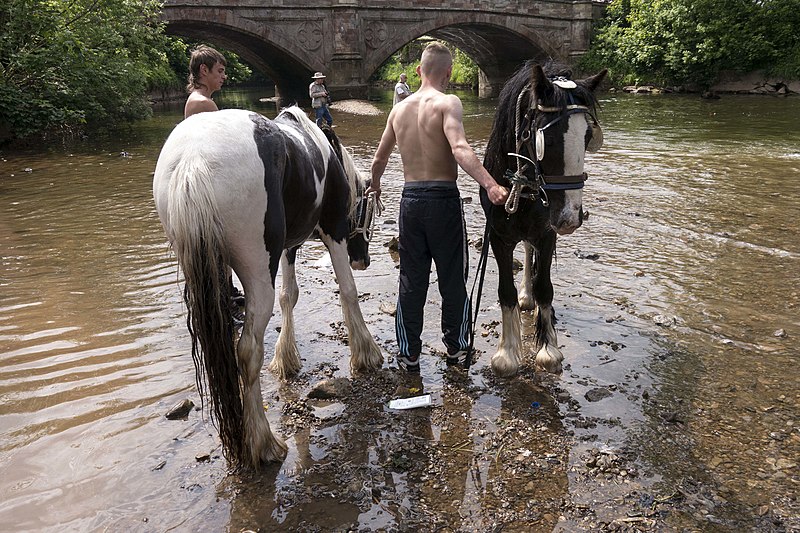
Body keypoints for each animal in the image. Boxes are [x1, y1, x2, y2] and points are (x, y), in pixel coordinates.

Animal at [482, 60, 608, 376]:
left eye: (587, 137)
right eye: (546, 140)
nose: (570, 218)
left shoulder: (547, 233)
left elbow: (545, 287)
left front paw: (548, 349)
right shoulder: (498, 236)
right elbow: (505, 291)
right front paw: (507, 353)